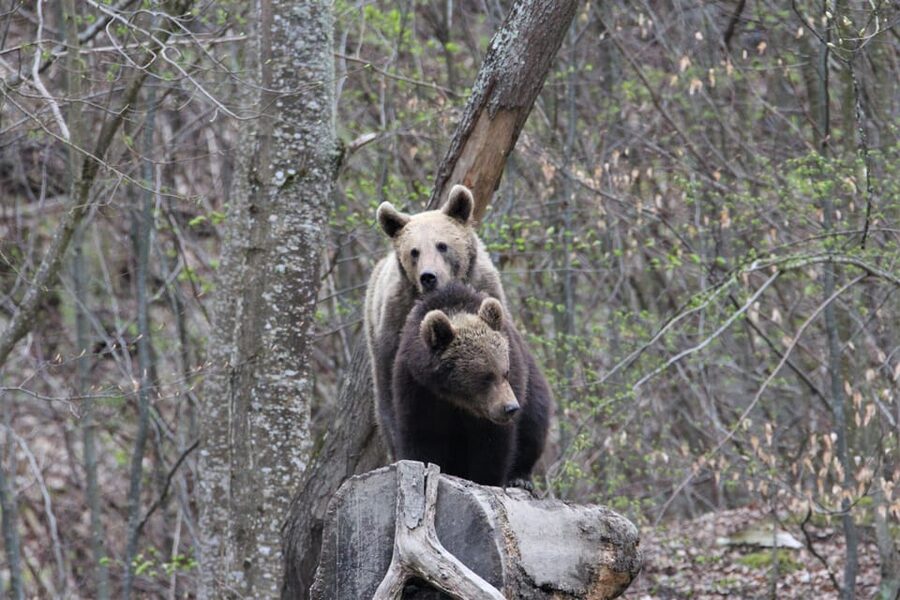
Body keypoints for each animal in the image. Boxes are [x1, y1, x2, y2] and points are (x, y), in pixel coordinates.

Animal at [390, 282, 552, 487]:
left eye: (505, 372)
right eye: (485, 376)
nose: (510, 408)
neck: (455, 398)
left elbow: (493, 445)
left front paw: (487, 479)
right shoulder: (417, 388)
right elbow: (421, 436)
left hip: (533, 388)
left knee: (534, 424)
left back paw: (520, 478)